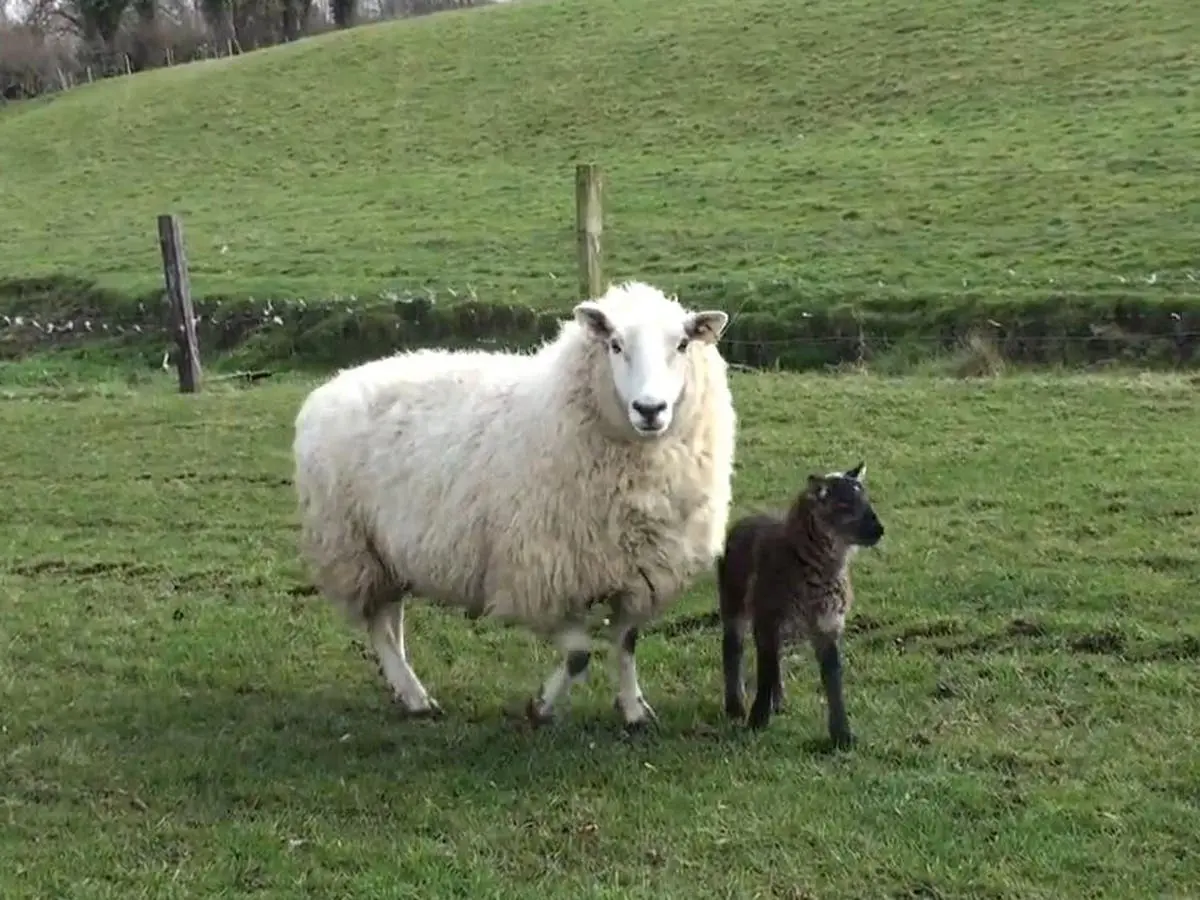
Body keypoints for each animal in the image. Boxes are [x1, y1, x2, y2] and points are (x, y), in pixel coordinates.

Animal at [292, 280, 739, 734]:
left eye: (682, 344)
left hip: (387, 552)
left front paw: (633, 709)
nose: (650, 409)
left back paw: (402, 686)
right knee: (379, 626)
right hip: (353, 546)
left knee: (390, 619)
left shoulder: (637, 574)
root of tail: (333, 385)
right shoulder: (538, 575)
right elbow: (578, 654)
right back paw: (415, 697)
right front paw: (540, 707)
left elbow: (627, 642)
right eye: (615, 344)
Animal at [715, 465, 888, 748]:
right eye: (844, 505)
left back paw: (778, 701)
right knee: (733, 647)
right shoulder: (767, 616)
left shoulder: (828, 623)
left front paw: (843, 735)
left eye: (866, 500)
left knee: (775, 658)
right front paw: (756, 721)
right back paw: (736, 706)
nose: (879, 529)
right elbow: (764, 671)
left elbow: (833, 678)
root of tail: (747, 518)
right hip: (733, 599)